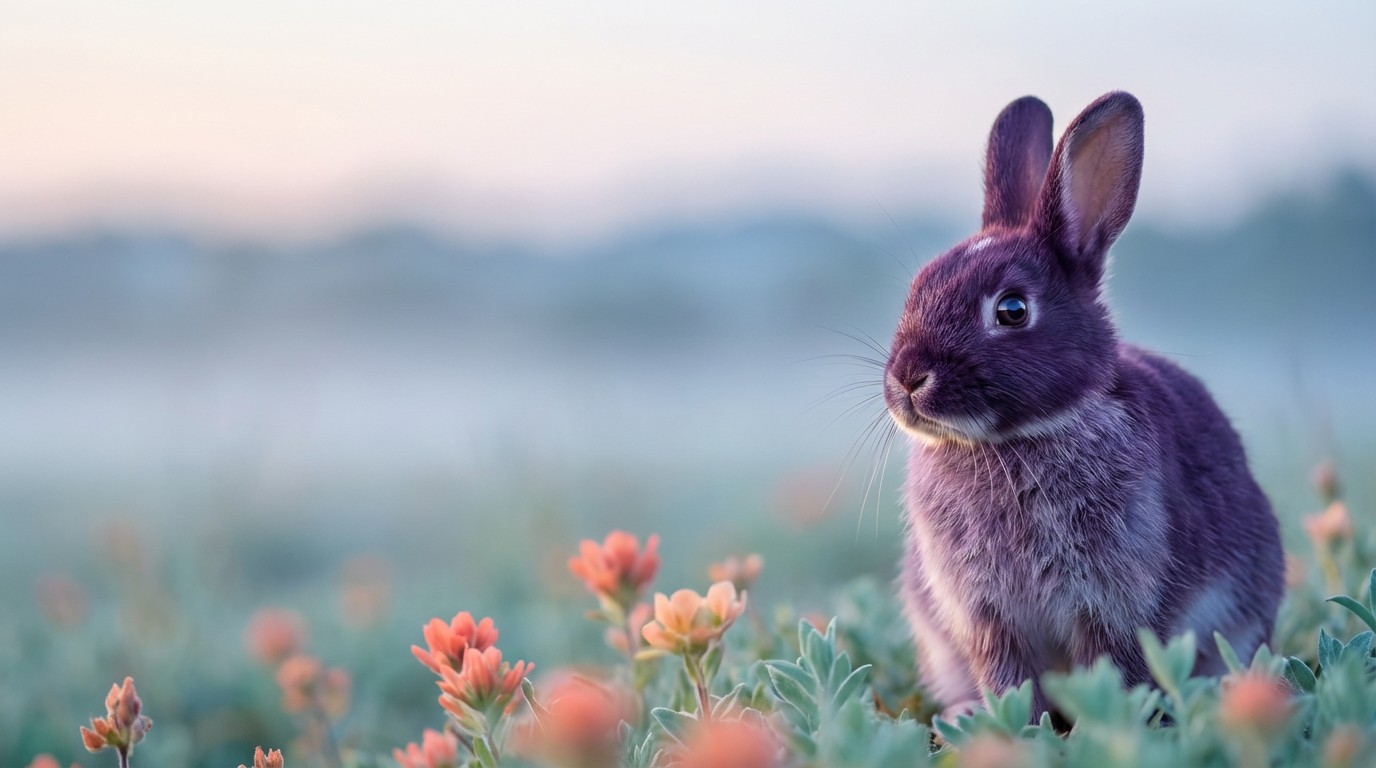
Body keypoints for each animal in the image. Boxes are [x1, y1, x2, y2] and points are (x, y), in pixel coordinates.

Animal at [884, 92, 1284, 720]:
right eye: (917, 289)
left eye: (1013, 310)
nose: (906, 380)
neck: (1015, 439)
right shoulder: (987, 617)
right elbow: (1008, 677)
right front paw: (1012, 724)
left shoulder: (1115, 602)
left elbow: (1113, 667)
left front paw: (1110, 719)